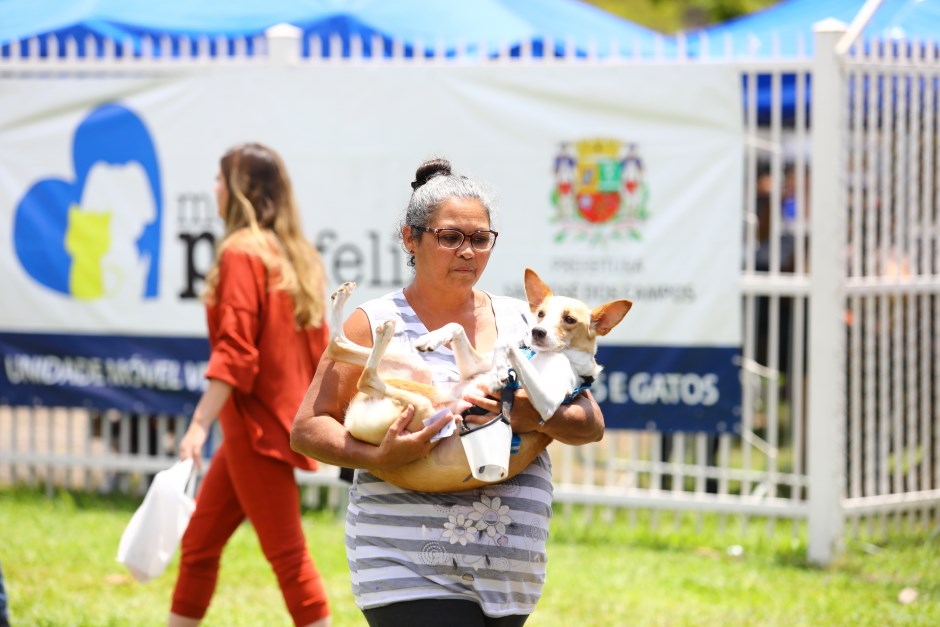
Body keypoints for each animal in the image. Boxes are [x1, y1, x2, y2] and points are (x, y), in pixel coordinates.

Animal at [324, 268, 632, 494]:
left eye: (569, 319)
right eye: (541, 314)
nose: (536, 332)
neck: (545, 354)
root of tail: (352, 420)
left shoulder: (547, 403)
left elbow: (504, 344)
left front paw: (500, 370)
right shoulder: (472, 369)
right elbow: (458, 327)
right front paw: (433, 338)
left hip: (424, 410)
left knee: (366, 377)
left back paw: (382, 331)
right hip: (418, 371)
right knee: (337, 347)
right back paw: (348, 301)